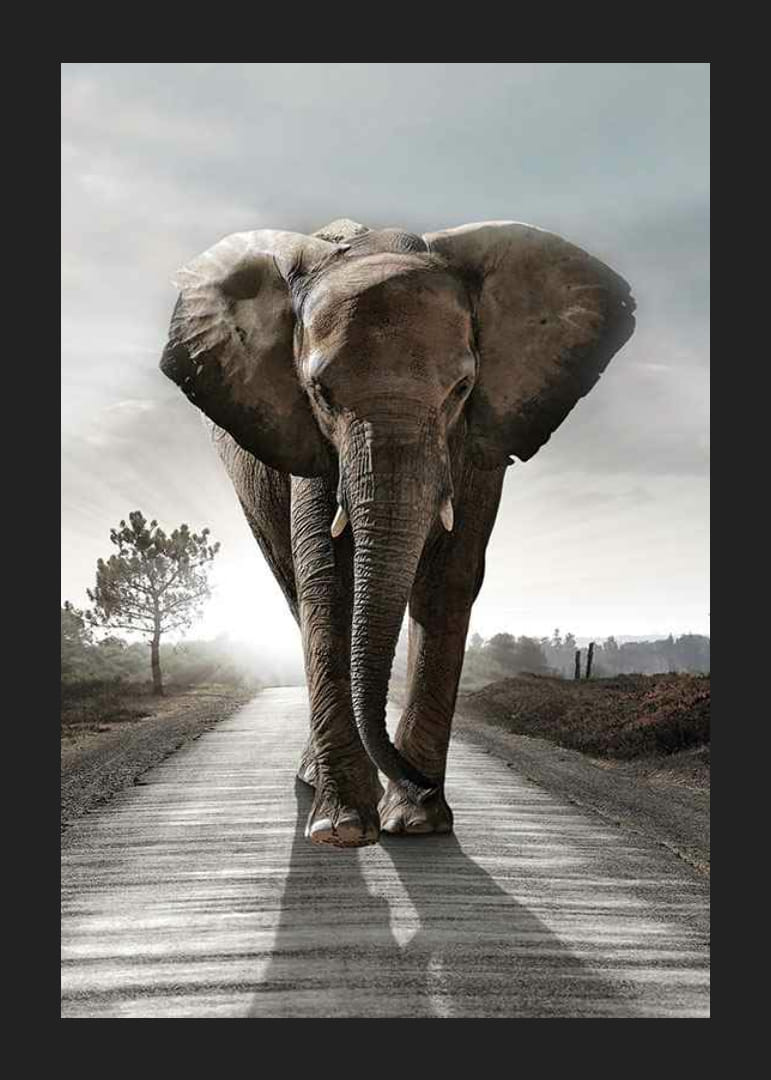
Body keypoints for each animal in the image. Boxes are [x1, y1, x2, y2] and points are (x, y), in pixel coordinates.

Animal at [160, 217, 635, 849]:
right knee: (293, 590)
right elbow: (327, 583)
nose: (423, 784)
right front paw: (343, 829)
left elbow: (449, 581)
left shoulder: (478, 442)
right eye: (321, 393)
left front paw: (416, 822)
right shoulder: (309, 445)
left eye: (462, 389)